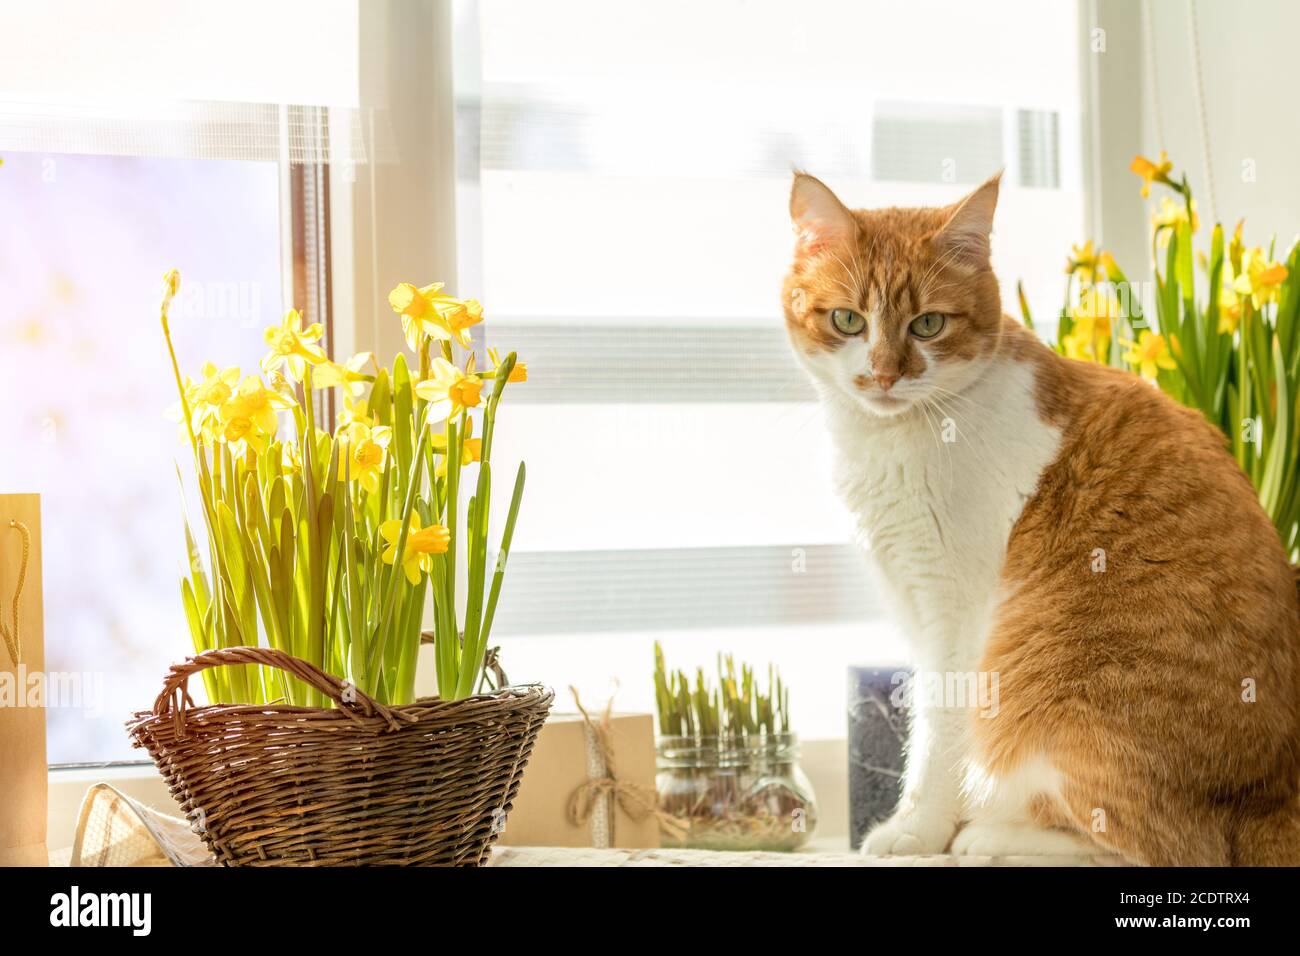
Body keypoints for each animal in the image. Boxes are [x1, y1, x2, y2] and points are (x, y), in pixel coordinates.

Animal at [780, 171, 1300, 868]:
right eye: (847, 319)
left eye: (928, 324)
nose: (885, 375)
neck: (892, 439)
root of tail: (1270, 795)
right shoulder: (913, 601)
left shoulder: (957, 612)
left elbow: (938, 737)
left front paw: (918, 832)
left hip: (1054, 705)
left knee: (1154, 846)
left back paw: (989, 838)